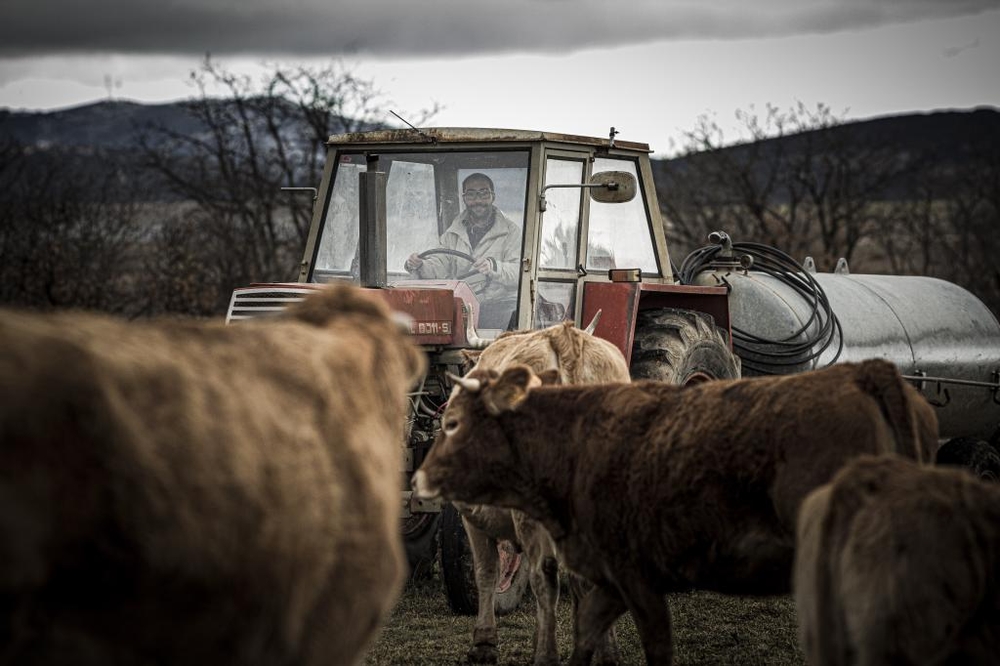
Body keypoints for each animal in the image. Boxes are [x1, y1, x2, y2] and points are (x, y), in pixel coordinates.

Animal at [456, 320, 628, 660]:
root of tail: (564, 338)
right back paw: (604, 654)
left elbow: (486, 571)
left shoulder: (472, 516)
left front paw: (484, 642)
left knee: (544, 576)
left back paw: (547, 656)